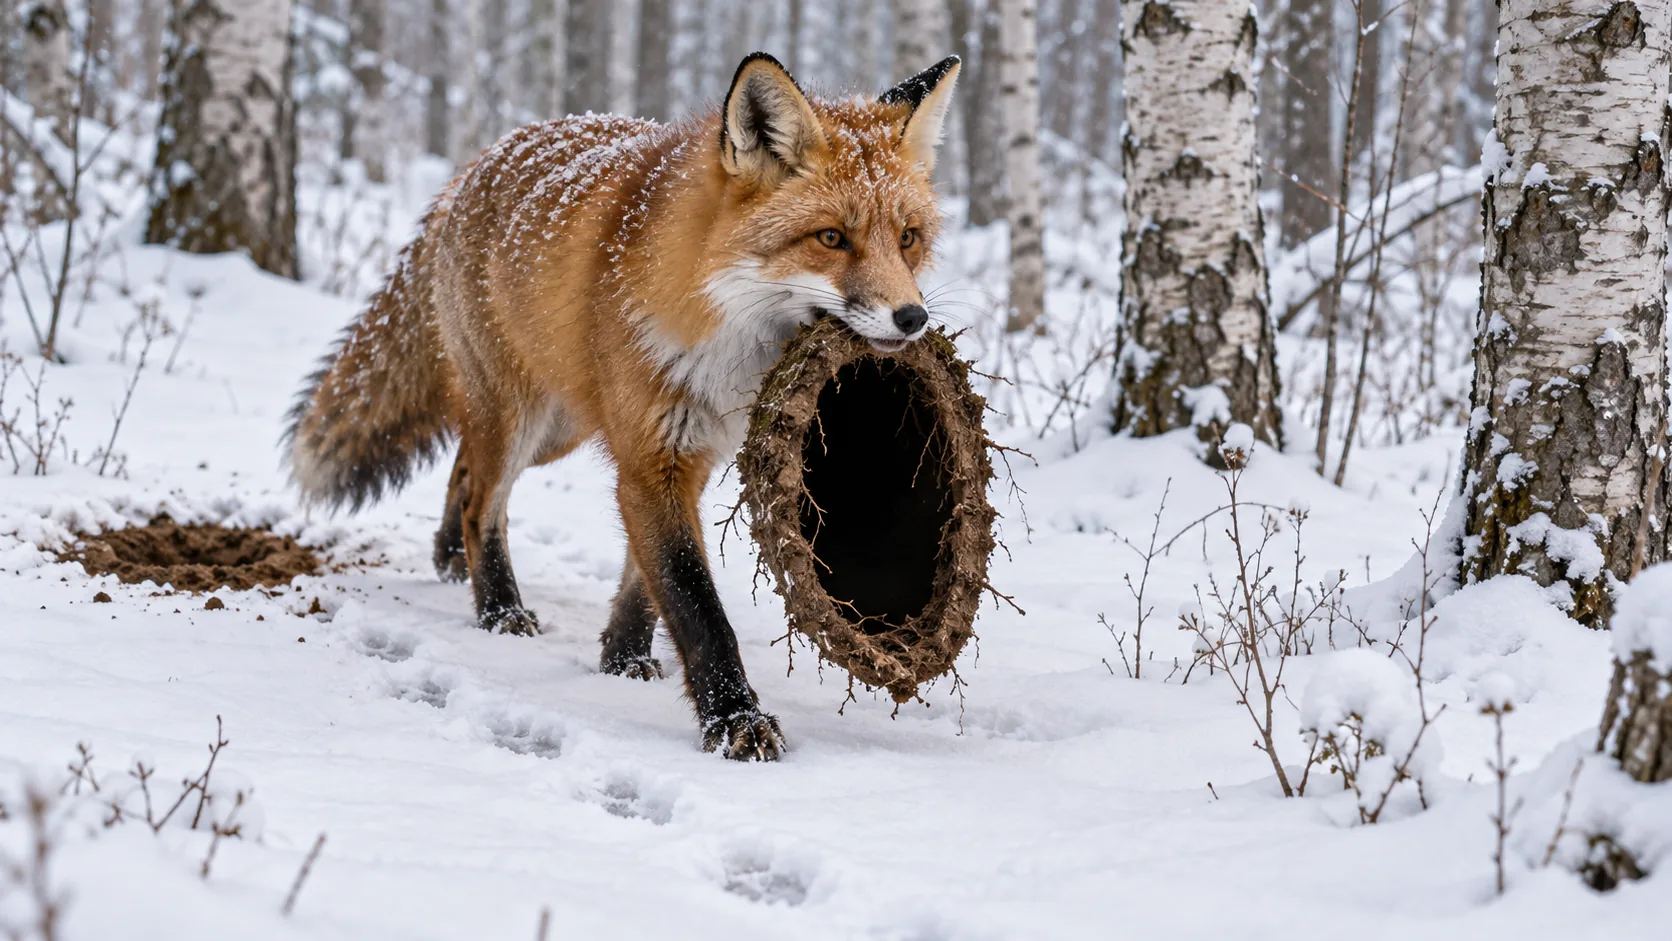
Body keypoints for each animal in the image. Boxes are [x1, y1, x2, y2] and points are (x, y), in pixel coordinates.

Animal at [283, 52, 960, 761]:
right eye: (830, 238)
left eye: (908, 238)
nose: (912, 318)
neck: (723, 338)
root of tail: (477, 164)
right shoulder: (650, 455)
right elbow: (694, 600)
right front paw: (734, 720)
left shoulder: (691, 455)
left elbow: (646, 583)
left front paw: (624, 657)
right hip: (521, 422)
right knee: (481, 502)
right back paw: (497, 608)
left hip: (557, 430)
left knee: (462, 467)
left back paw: (450, 560)